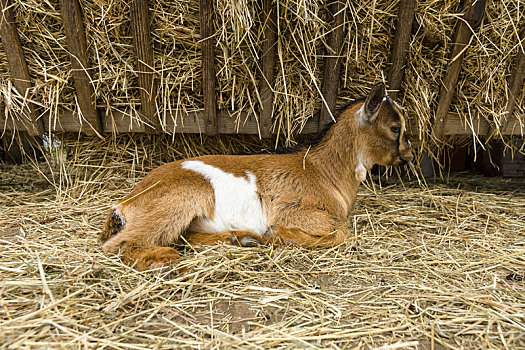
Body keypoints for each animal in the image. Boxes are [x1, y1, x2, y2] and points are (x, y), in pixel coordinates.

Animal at [100, 83, 414, 270]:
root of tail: (125, 202)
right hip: (180, 197)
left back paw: (240, 240)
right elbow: (341, 231)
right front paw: (277, 235)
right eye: (395, 127)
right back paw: (162, 259)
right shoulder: (291, 210)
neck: (322, 170)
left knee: (183, 237)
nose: (410, 152)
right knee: (118, 245)